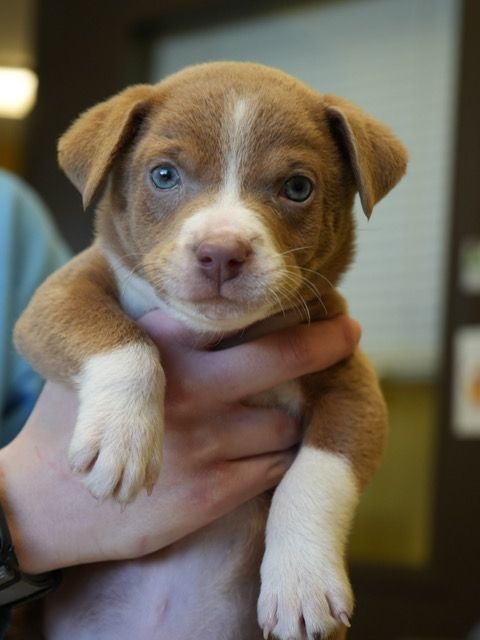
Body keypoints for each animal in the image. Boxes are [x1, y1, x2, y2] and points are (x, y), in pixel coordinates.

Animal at [14, 61, 404, 640]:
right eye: (164, 175)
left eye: (297, 187)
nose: (221, 251)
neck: (220, 336)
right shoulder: (59, 293)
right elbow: (111, 334)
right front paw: (122, 438)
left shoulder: (353, 385)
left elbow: (318, 476)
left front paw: (301, 582)